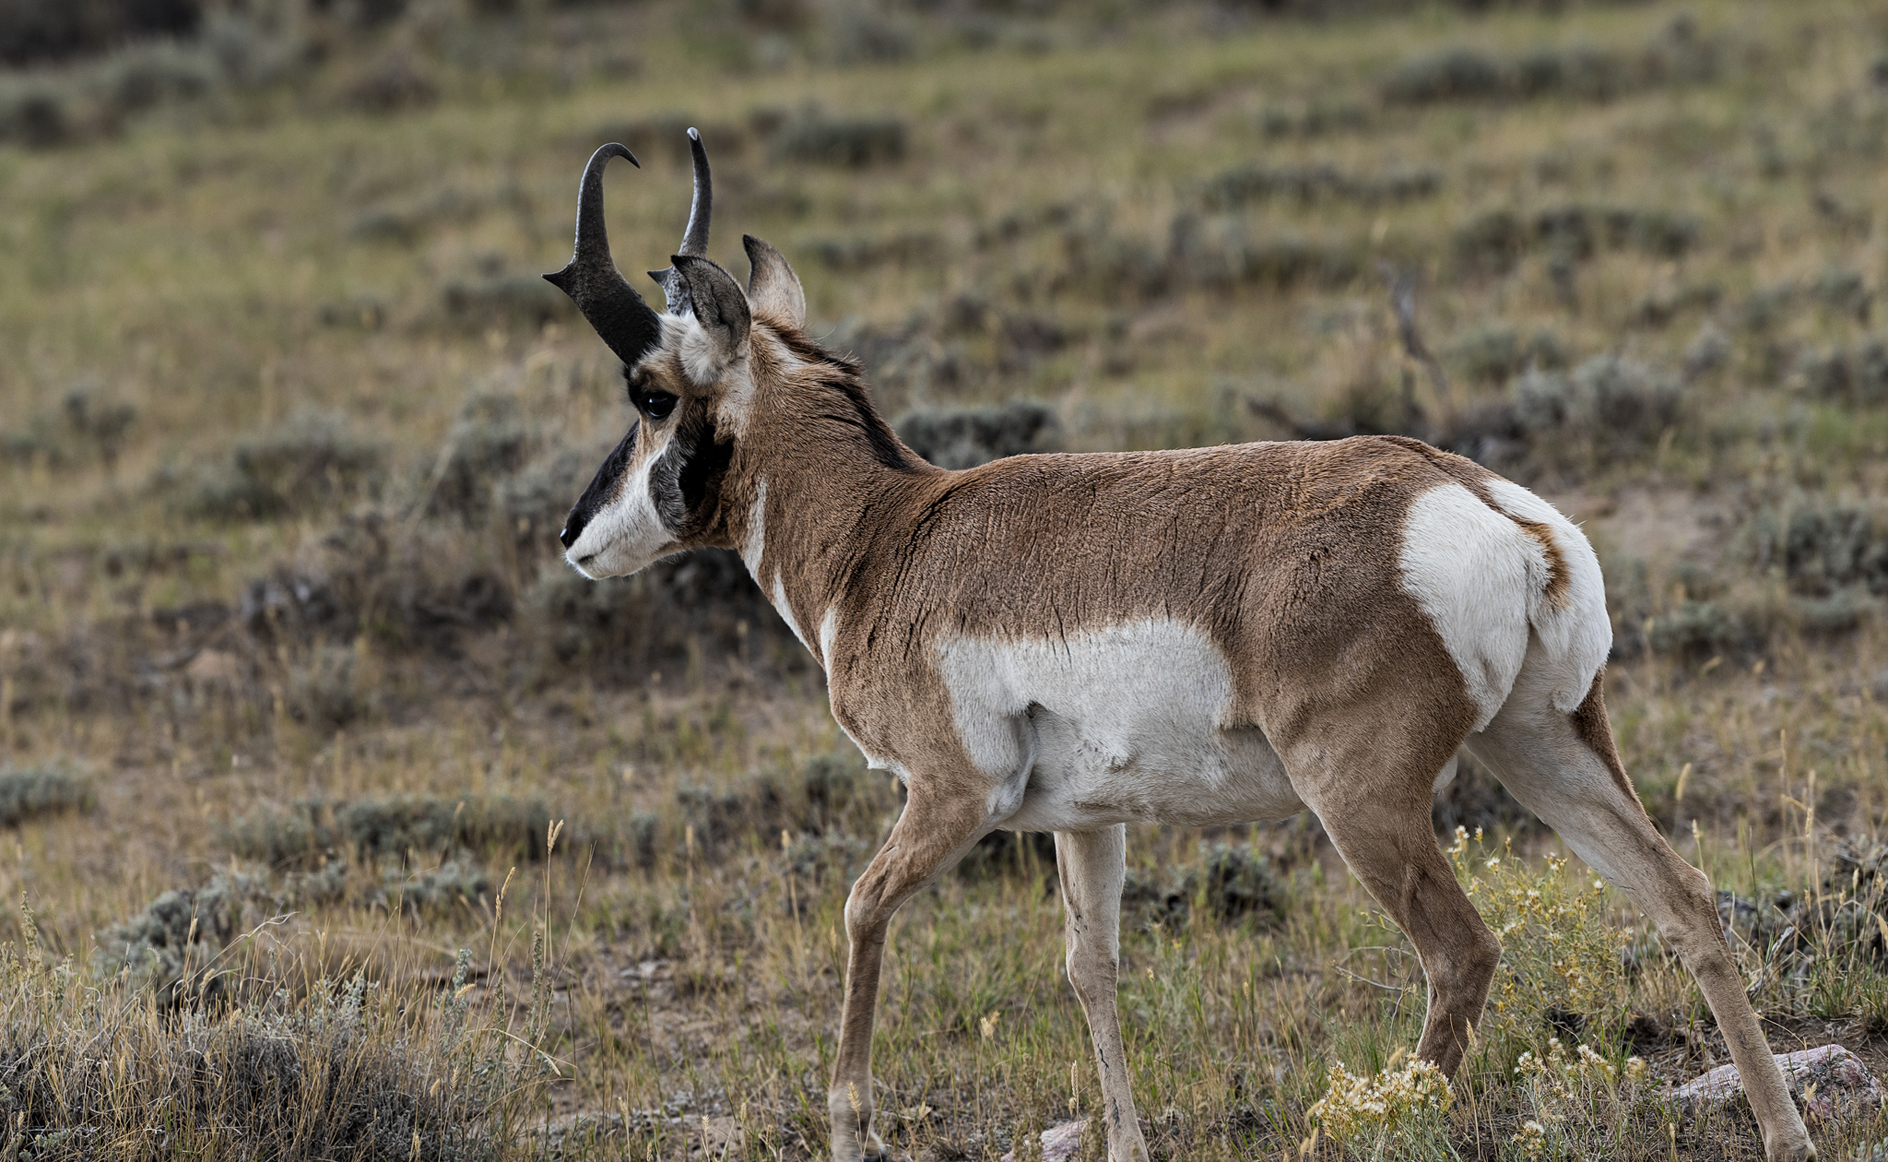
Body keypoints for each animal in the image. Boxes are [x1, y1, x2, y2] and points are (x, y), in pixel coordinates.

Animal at [543, 132, 1816, 1162]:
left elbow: (859, 909)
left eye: (649, 392)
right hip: (1543, 744)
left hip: (1363, 801)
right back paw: (1783, 1130)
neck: (892, 533)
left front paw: (850, 1127)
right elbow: (1090, 969)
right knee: (1683, 897)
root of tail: (1478, 502)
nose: (571, 537)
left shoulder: (948, 797)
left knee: (1461, 953)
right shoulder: (1082, 823)